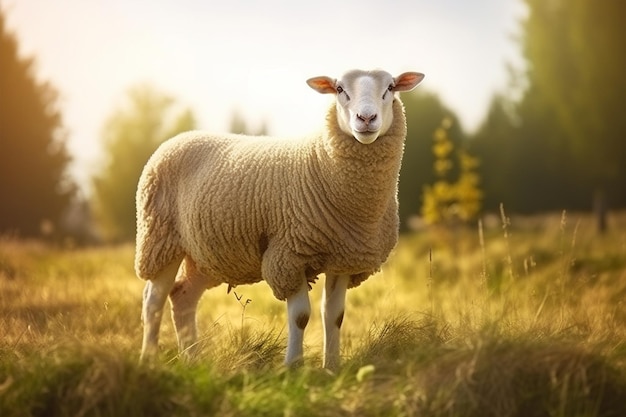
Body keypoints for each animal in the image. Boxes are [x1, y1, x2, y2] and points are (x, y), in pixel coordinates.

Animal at [134, 69, 422, 370]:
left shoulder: (343, 257)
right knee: (153, 300)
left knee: (182, 296)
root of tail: (177, 139)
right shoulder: (288, 256)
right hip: (160, 238)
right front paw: (293, 367)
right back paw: (149, 359)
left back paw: (192, 360)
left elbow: (335, 315)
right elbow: (301, 316)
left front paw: (332, 368)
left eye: (390, 88)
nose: (366, 119)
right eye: (340, 89)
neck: (321, 162)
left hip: (205, 254)